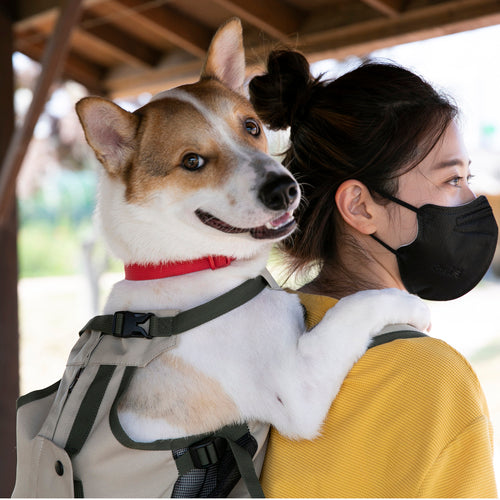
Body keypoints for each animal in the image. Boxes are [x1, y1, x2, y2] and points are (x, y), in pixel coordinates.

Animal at [74, 17, 430, 498]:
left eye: (251, 126)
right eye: (192, 161)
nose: (285, 189)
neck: (188, 267)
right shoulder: (298, 390)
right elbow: (356, 308)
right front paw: (411, 306)